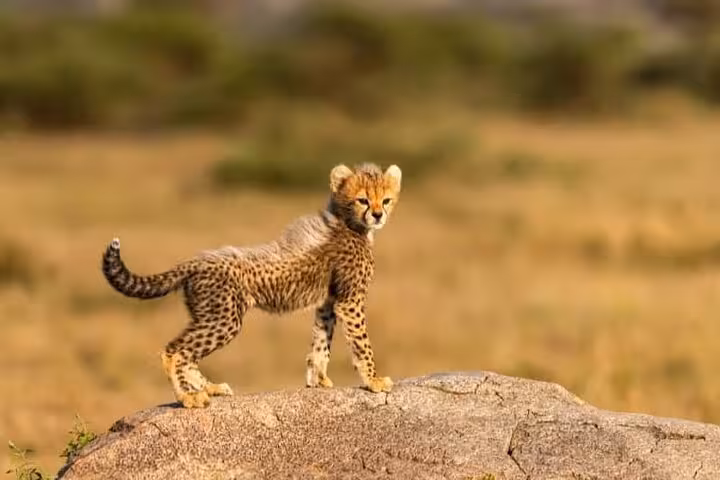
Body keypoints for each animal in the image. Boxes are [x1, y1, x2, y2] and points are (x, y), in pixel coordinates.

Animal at [101, 162, 401, 408]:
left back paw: (210, 387)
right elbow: (362, 343)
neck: (349, 223)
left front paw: (318, 380)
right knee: (175, 351)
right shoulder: (350, 301)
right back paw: (189, 397)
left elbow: (320, 341)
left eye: (386, 200)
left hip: (209, 316)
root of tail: (196, 260)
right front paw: (374, 380)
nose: (378, 215)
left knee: (188, 353)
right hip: (224, 319)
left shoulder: (328, 301)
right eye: (363, 200)